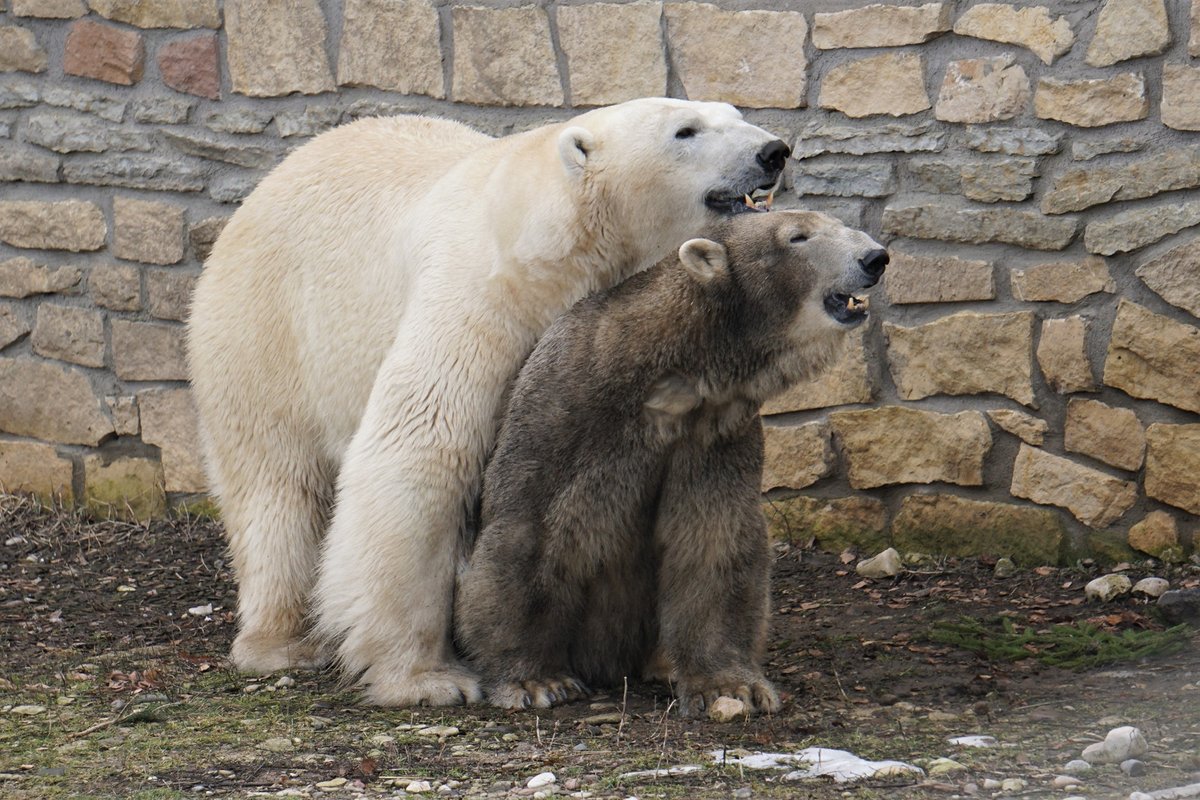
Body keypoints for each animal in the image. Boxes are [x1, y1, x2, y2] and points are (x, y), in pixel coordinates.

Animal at [187, 97, 792, 705]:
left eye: (734, 112)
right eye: (685, 131)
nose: (774, 151)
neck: (557, 240)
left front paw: (674, 662)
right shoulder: (483, 300)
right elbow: (424, 448)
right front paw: (430, 679)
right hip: (266, 331)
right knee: (277, 484)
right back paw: (284, 642)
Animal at [453, 209, 888, 714]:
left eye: (836, 222)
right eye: (798, 236)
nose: (875, 258)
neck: (665, 368)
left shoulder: (714, 434)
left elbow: (714, 538)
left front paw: (730, 686)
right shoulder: (564, 409)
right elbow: (529, 530)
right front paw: (536, 681)